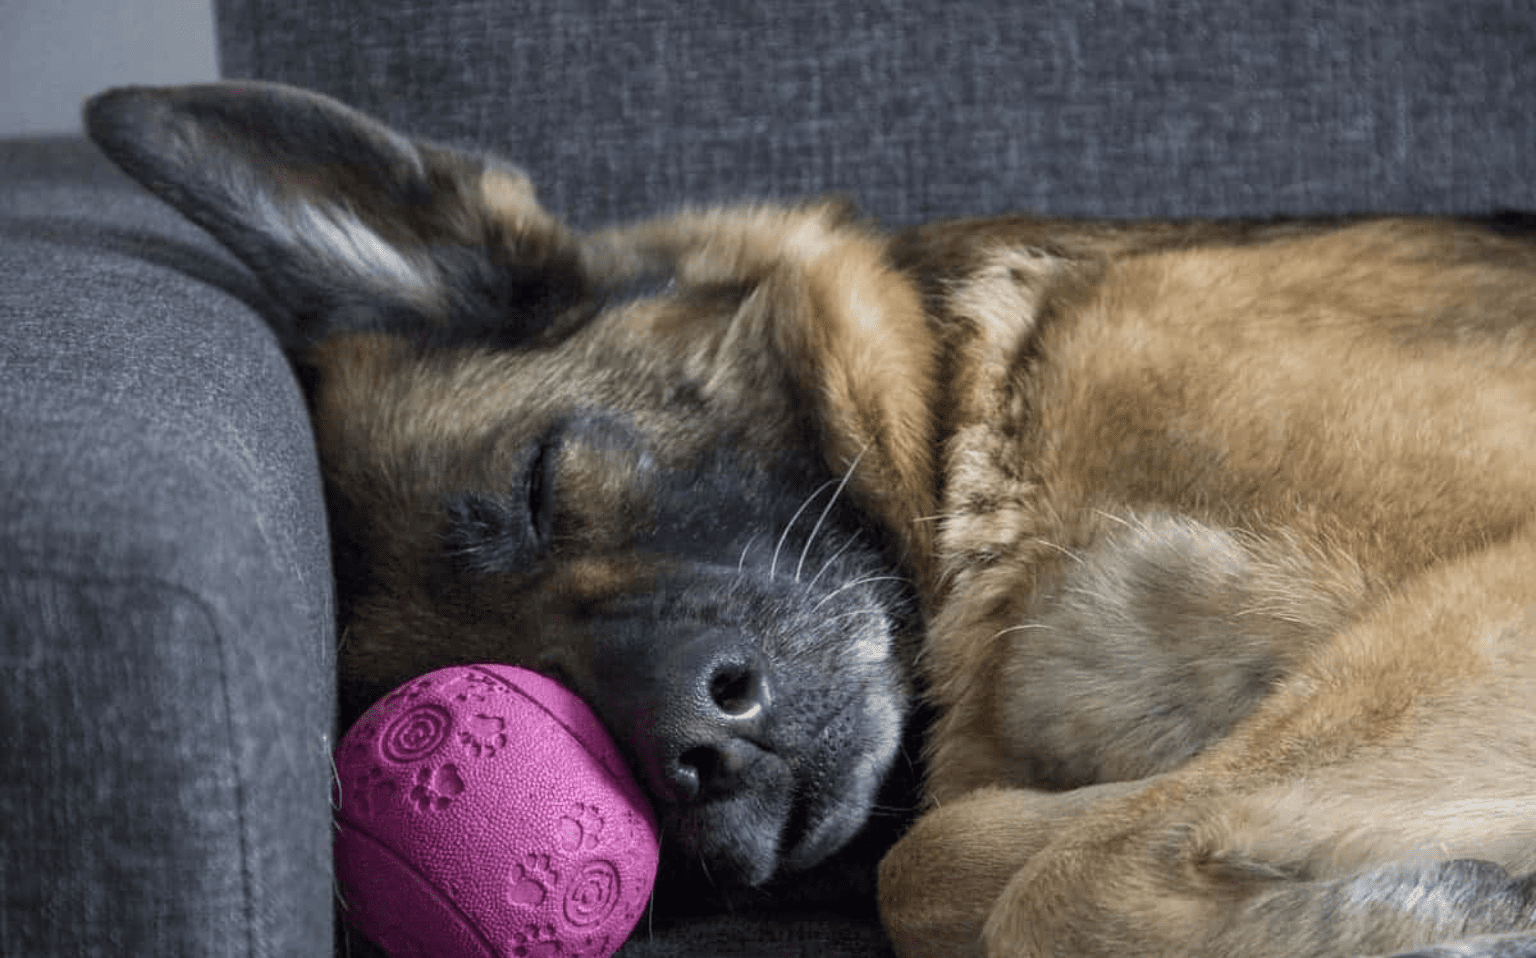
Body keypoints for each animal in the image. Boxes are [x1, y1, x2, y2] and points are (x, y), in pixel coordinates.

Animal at [87, 81, 1536, 958]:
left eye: (539, 486)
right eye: (497, 688)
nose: (697, 753)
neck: (971, 414)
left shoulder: (1493, 581)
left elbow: (1062, 870)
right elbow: (951, 862)